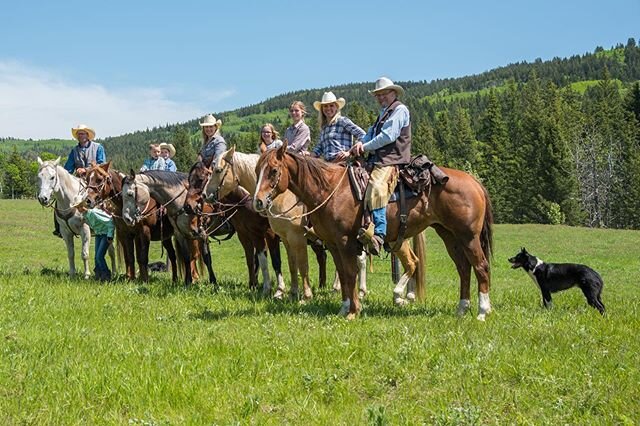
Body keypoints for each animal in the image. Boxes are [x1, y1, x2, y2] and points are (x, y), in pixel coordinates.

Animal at [185, 162, 284, 296]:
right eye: (189, 179)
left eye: (200, 179)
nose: (187, 206)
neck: (245, 203)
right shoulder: (244, 235)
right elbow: (250, 260)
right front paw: (252, 285)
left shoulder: (268, 234)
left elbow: (272, 260)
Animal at [202, 148, 368, 302]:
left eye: (218, 170)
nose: (204, 195)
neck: (281, 198)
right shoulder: (270, 236)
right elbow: (280, 263)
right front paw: (276, 290)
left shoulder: (290, 236)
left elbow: (297, 264)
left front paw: (290, 292)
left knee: (359, 260)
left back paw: (358, 291)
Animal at [254, 145, 496, 322]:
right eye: (257, 171)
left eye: (273, 170)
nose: (258, 202)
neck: (330, 189)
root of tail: (474, 181)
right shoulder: (333, 244)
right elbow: (343, 275)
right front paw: (344, 308)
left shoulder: (345, 242)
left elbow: (350, 273)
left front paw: (354, 311)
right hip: (449, 236)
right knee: (463, 268)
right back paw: (461, 309)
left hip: (468, 237)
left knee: (480, 267)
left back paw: (482, 311)